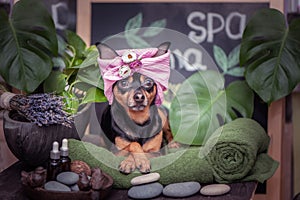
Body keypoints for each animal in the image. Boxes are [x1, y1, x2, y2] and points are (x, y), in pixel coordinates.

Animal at [96, 42, 178, 173]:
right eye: (124, 83)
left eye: (148, 82)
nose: (139, 97)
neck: (139, 121)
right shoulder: (116, 152)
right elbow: (133, 144)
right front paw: (131, 162)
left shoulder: (157, 153)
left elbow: (144, 149)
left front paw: (137, 161)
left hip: (163, 116)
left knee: (168, 132)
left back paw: (173, 144)